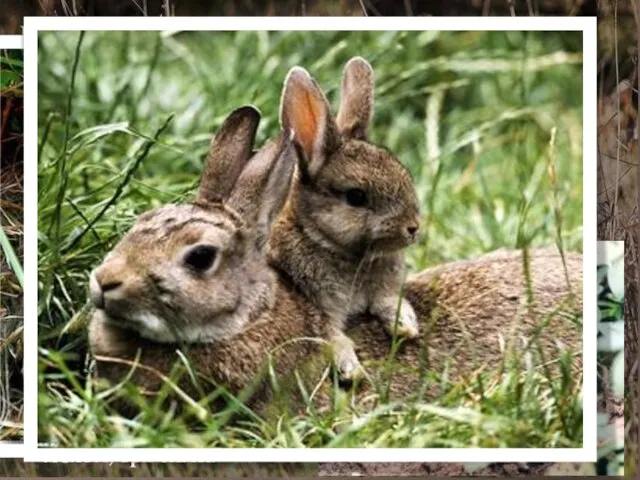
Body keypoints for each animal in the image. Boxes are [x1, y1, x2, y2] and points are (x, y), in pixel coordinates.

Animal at [266, 58, 420, 384]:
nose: (413, 228)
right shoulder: (315, 305)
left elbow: (388, 301)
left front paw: (406, 325)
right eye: (356, 197)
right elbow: (330, 335)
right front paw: (351, 369)